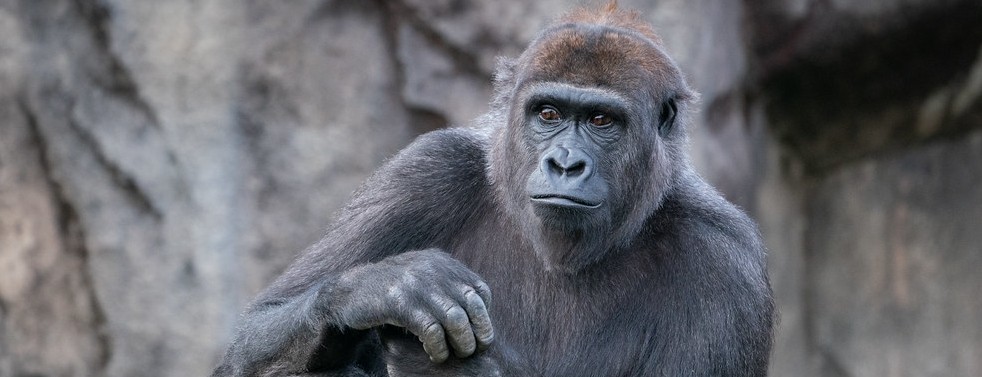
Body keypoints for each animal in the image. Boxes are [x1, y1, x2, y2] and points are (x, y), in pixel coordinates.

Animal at [213, 3, 776, 376]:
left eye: (602, 121)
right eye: (548, 113)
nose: (565, 163)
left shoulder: (727, 264)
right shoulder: (428, 172)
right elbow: (247, 341)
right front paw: (386, 287)